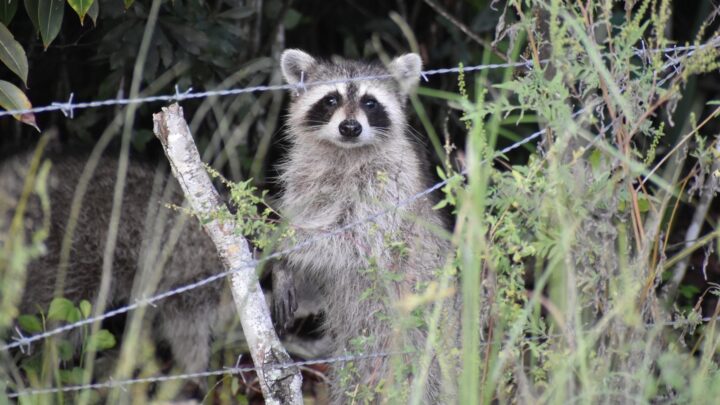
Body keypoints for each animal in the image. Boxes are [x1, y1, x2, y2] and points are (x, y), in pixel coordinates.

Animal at [272, 49, 458, 400]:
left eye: (370, 103)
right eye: (331, 99)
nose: (349, 127)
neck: (344, 153)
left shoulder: (389, 184)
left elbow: (359, 242)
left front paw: (280, 245)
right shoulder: (304, 180)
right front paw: (283, 266)